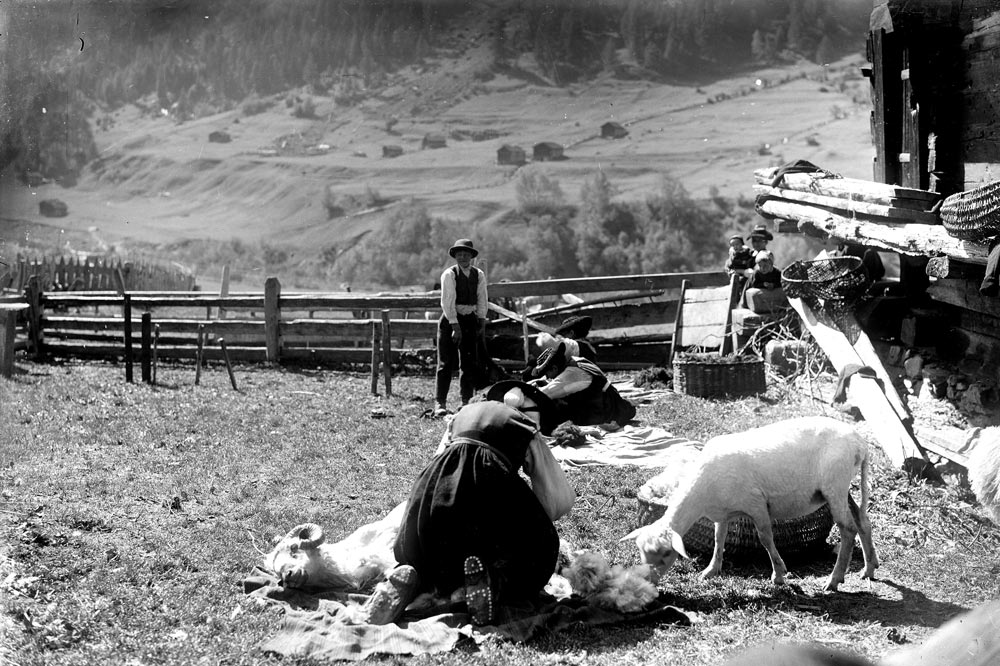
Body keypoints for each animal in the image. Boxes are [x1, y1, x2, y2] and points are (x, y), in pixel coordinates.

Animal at [620, 416, 880, 592]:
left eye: (666, 554)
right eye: (641, 553)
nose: (649, 582)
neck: (701, 490)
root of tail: (860, 442)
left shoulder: (756, 504)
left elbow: (766, 538)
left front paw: (779, 574)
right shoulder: (722, 513)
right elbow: (719, 539)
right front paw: (711, 570)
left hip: (834, 484)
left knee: (848, 529)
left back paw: (834, 580)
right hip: (838, 489)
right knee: (862, 521)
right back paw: (869, 568)